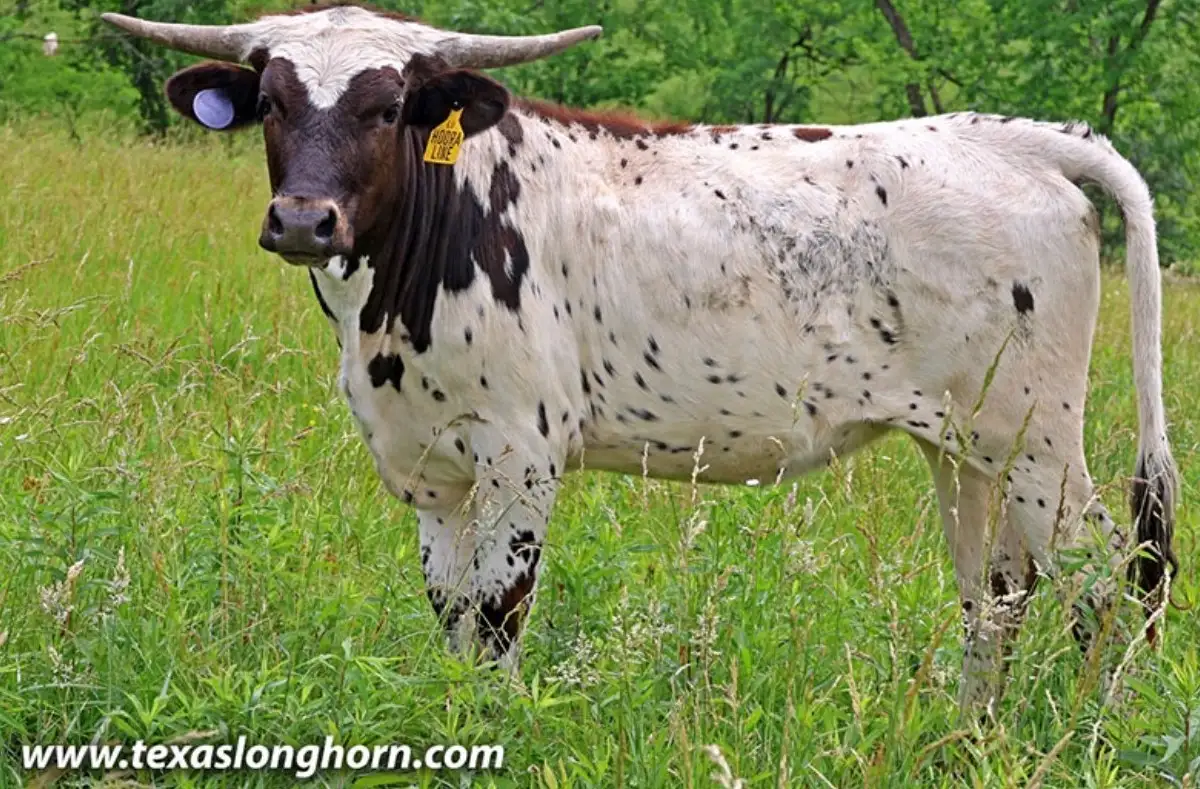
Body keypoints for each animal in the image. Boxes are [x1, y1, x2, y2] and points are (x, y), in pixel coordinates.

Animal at [105, 3, 1177, 714]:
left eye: (387, 105)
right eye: (273, 102)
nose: (303, 219)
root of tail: (1017, 141)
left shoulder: (520, 454)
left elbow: (499, 612)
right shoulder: (426, 468)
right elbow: (450, 614)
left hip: (1037, 441)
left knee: (1101, 577)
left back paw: (1094, 734)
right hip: (960, 444)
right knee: (996, 592)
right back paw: (970, 737)